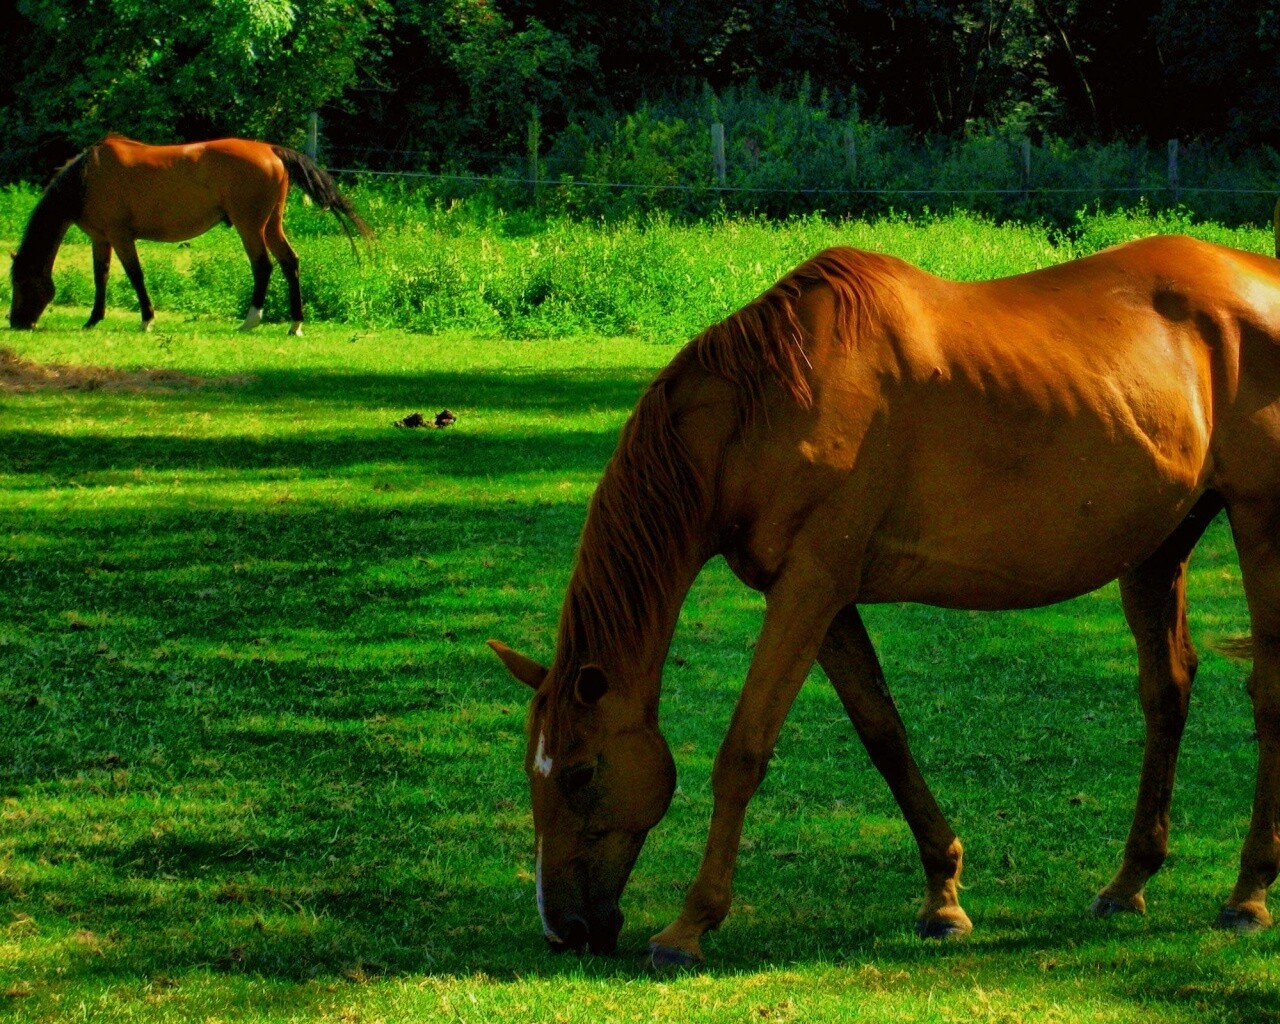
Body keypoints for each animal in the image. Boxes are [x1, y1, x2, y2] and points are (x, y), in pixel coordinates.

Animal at [8, 135, 371, 335]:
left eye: (21, 283)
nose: (16, 322)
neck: (88, 176)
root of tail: (270, 150)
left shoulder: (121, 236)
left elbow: (135, 275)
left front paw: (146, 320)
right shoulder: (101, 238)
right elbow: (102, 276)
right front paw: (93, 320)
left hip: (250, 226)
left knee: (263, 267)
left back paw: (250, 320)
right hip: (271, 226)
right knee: (289, 263)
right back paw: (295, 325)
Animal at [488, 235, 1280, 966]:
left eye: (582, 772)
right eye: (532, 770)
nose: (564, 930)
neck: (765, 404)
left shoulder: (809, 588)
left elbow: (743, 751)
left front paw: (689, 927)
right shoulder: (823, 598)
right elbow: (884, 735)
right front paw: (944, 897)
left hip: (1257, 521)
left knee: (1265, 693)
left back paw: (1247, 894)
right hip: (1159, 546)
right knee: (1166, 691)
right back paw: (1127, 883)